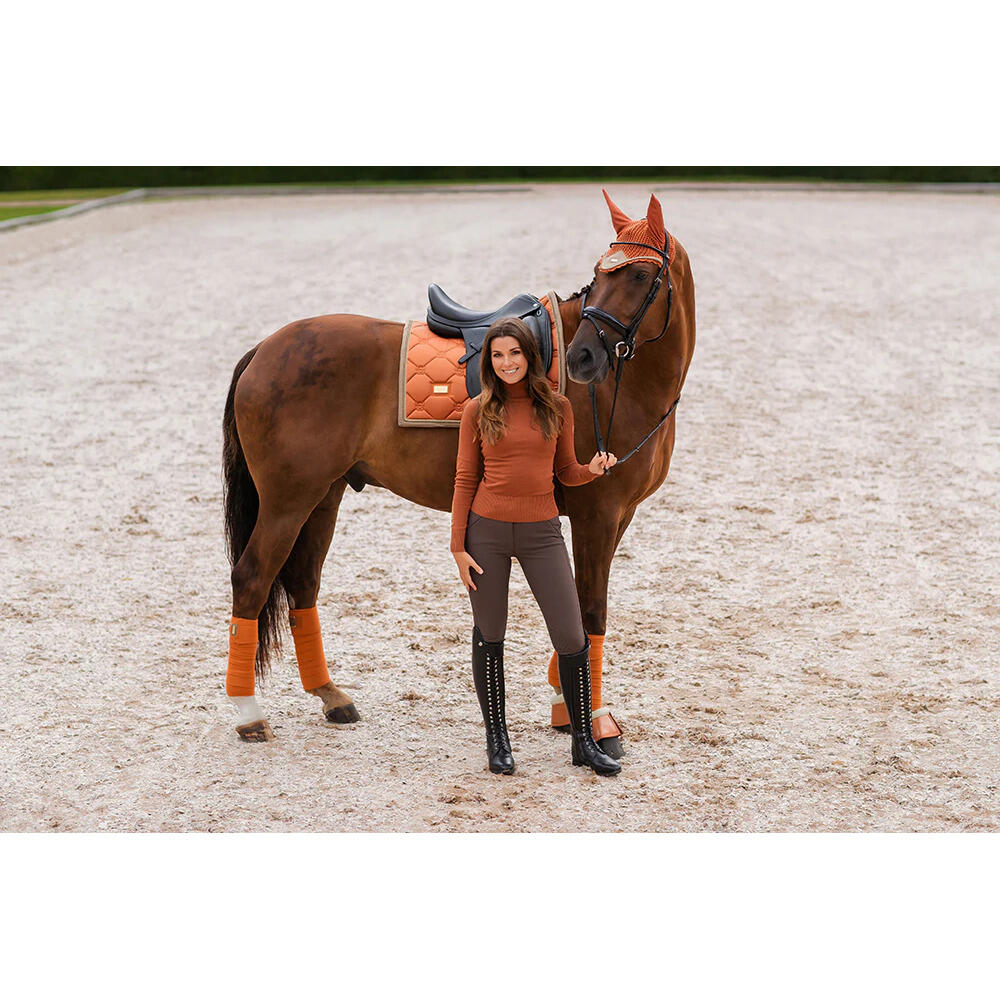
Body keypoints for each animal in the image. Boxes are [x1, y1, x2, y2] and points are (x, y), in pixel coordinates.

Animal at [221, 189, 696, 750]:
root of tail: (265, 349)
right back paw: (248, 712)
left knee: (302, 582)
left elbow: (574, 614)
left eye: (641, 275)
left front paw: (566, 706)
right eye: (599, 273)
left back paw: (331, 696)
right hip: (288, 500)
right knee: (252, 578)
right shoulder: (596, 515)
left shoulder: (616, 517)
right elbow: (590, 612)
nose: (583, 357)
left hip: (323, 496)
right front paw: (596, 722)